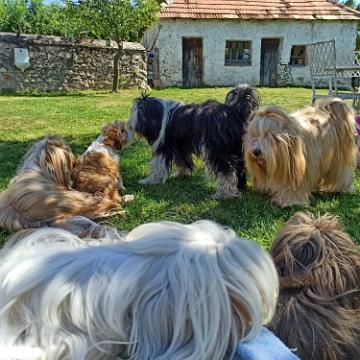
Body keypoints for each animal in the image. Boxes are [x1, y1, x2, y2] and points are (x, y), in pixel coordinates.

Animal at [128, 85, 260, 200]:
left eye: (136, 112)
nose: (128, 124)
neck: (160, 115)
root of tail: (234, 111)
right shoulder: (179, 146)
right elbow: (182, 162)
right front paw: (181, 174)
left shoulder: (163, 147)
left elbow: (157, 166)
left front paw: (151, 180)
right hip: (237, 149)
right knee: (239, 168)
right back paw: (239, 187)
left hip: (217, 151)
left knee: (227, 172)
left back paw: (224, 194)